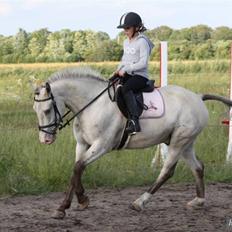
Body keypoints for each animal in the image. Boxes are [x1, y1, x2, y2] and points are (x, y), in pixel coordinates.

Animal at [32, 67, 232, 219]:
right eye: (35, 109)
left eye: (47, 109)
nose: (45, 140)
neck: (91, 105)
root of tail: (198, 97)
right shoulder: (82, 145)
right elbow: (76, 170)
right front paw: (74, 203)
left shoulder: (102, 145)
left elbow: (78, 167)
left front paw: (70, 204)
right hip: (185, 143)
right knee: (198, 167)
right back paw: (198, 201)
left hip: (178, 142)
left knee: (167, 171)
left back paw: (139, 202)